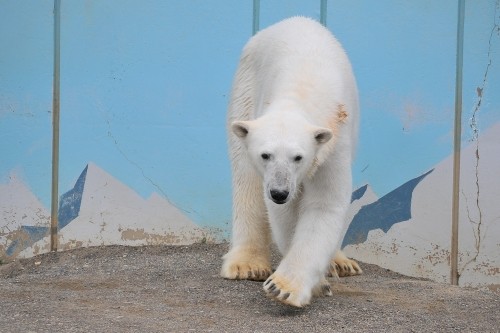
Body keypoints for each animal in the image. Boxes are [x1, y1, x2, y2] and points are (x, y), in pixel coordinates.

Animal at [222, 16, 360, 304]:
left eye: (298, 157)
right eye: (265, 155)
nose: (279, 192)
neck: (303, 89)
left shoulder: (333, 143)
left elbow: (325, 205)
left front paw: (285, 287)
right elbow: (287, 215)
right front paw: (307, 285)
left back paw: (341, 263)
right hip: (244, 89)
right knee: (245, 176)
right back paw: (247, 265)